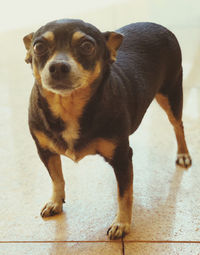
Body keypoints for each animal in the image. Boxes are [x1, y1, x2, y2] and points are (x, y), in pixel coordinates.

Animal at [22, 18, 191, 239]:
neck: (69, 106)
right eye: (39, 47)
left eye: (87, 46)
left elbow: (125, 194)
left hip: (171, 94)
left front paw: (122, 223)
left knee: (178, 125)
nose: (58, 66)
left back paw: (183, 154)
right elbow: (57, 178)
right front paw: (55, 202)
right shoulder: (45, 151)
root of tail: (158, 25)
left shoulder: (122, 157)